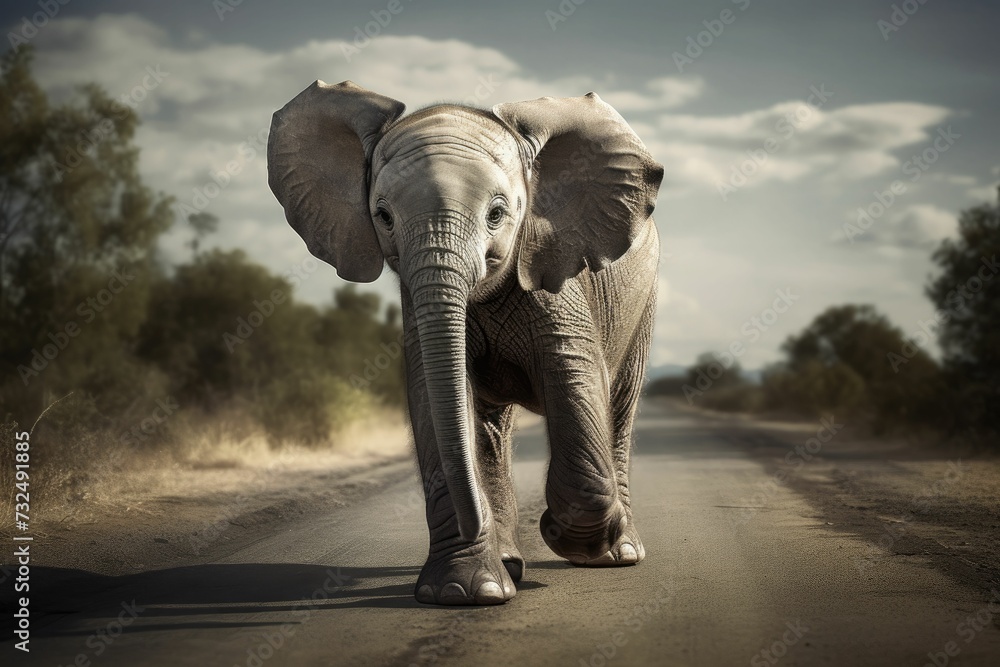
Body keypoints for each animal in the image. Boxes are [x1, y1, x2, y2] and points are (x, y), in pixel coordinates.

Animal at [267, 80, 663, 606]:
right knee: (488, 428)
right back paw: (509, 564)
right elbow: (433, 400)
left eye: (498, 214)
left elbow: (576, 380)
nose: (477, 523)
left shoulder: (554, 272)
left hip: (643, 300)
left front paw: (562, 537)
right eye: (383, 216)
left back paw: (617, 554)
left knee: (619, 403)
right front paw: (463, 592)